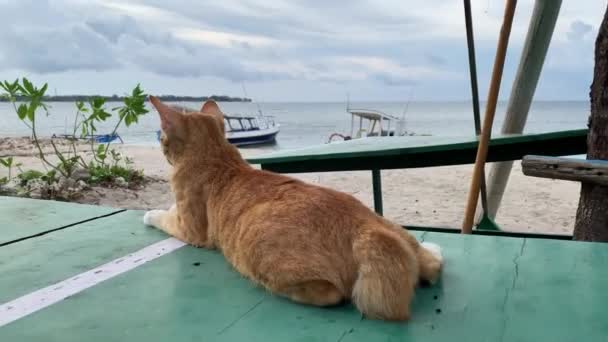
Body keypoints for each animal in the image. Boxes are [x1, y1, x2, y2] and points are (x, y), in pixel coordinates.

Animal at [145, 96, 444, 320]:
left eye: (162, 139)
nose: (160, 144)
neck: (218, 157)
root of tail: (367, 227)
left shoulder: (190, 230)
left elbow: (164, 216)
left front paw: (151, 214)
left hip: (261, 250)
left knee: (331, 294)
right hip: (397, 231)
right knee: (433, 264)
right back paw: (432, 251)